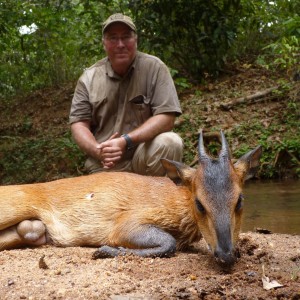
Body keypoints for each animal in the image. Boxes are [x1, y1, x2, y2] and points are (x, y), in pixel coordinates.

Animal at [0, 131, 262, 268]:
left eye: (240, 200)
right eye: (199, 203)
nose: (225, 255)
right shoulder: (126, 222)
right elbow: (168, 243)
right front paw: (105, 250)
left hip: (31, 228)